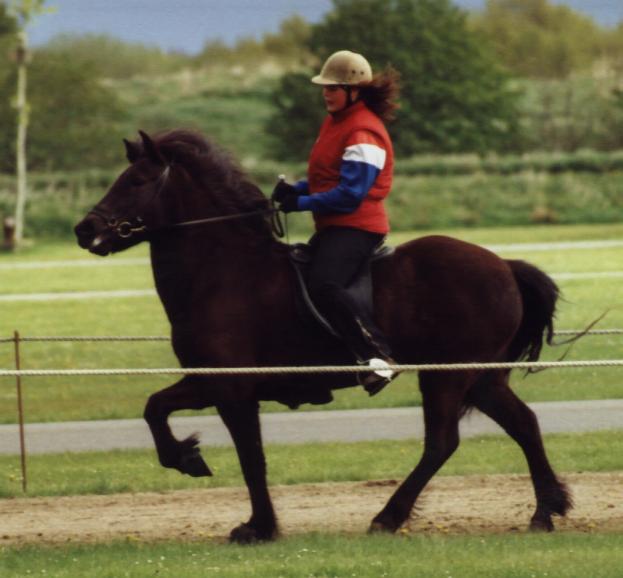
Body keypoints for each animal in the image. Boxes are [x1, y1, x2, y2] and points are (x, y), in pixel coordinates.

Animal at [75, 129, 572, 540]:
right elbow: (154, 408)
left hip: (447, 376)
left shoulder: (233, 389)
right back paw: (544, 511)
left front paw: (259, 526)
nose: (85, 229)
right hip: (482, 377)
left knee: (442, 442)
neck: (222, 270)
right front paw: (186, 457)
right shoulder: (209, 381)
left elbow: (250, 457)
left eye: (137, 181)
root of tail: (504, 266)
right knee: (523, 424)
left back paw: (388, 517)